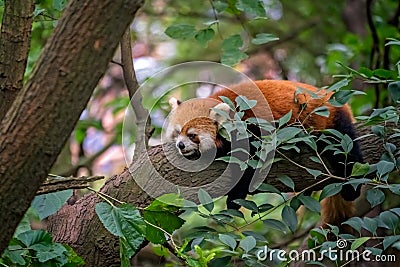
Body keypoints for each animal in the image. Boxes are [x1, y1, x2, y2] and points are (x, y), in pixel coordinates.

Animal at [164, 80, 364, 230]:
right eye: (177, 133)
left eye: (192, 135)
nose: (181, 145)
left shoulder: (252, 128)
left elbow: (251, 167)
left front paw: (235, 199)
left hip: (331, 121)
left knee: (347, 150)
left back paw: (351, 188)